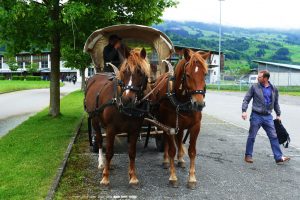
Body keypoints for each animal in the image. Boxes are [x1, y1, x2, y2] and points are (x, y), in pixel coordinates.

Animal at [84, 47, 150, 187]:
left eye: (141, 72)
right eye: (124, 71)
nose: (127, 99)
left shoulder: (135, 130)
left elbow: (132, 152)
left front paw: (133, 176)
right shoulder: (110, 129)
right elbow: (109, 152)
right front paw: (105, 177)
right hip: (94, 119)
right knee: (99, 140)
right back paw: (102, 163)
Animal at [149, 48, 210, 189]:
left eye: (205, 74)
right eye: (187, 75)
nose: (199, 104)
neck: (181, 100)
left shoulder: (195, 126)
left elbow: (192, 151)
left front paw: (192, 178)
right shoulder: (169, 126)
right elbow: (171, 149)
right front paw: (173, 177)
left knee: (179, 139)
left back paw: (181, 159)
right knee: (167, 142)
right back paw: (166, 161)